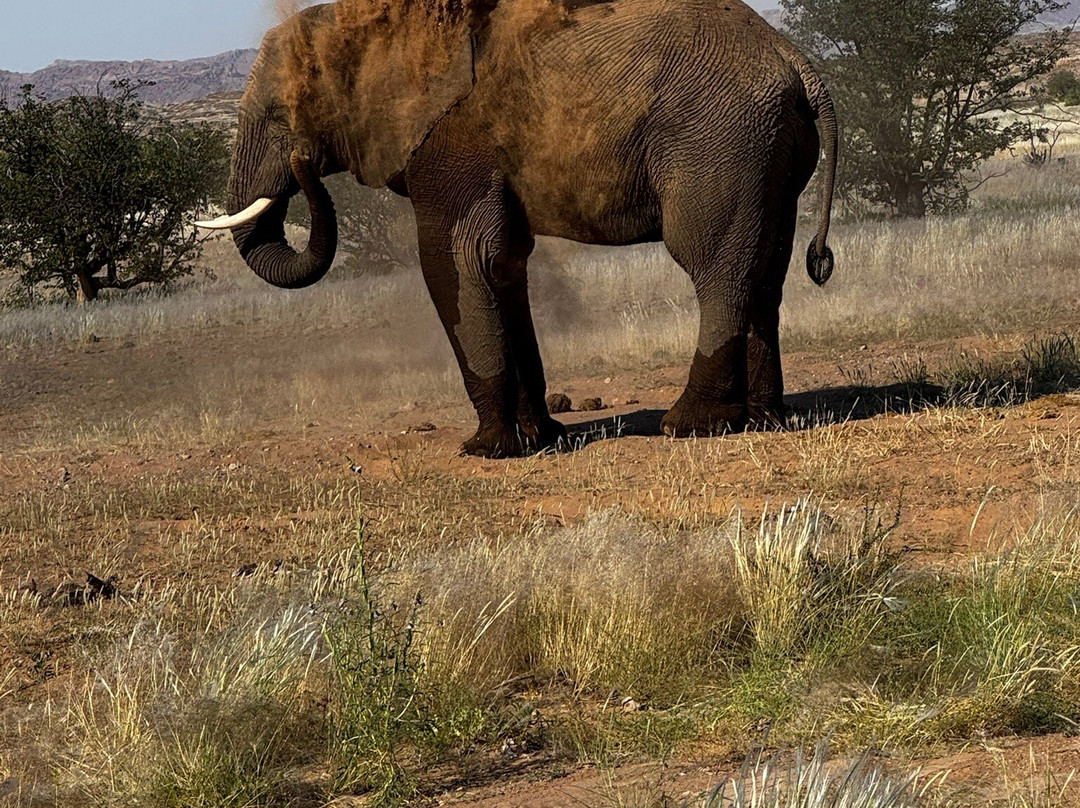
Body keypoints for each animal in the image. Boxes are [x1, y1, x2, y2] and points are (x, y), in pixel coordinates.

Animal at [198, 0, 838, 458]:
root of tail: (797, 62)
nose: (302, 161)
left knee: (713, 266)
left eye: (281, 115)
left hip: (720, 140)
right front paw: (541, 438)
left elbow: (454, 262)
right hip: (770, 150)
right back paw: (764, 420)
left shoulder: (450, 141)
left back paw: (690, 426)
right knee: (765, 272)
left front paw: (485, 450)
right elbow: (504, 267)